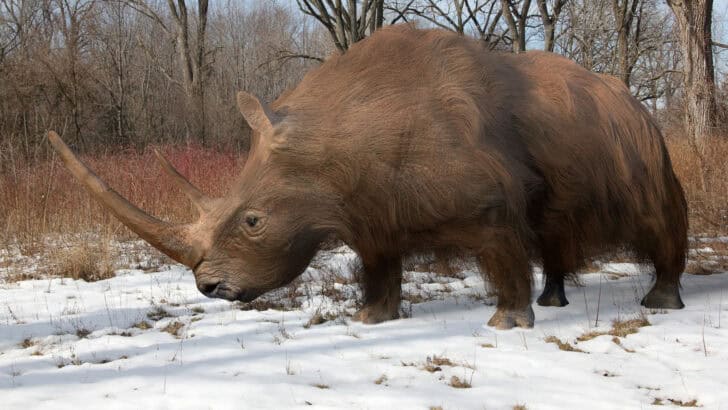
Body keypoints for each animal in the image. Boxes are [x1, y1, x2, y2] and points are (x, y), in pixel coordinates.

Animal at [48, 24, 687, 329]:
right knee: (555, 228)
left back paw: (659, 303)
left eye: (252, 221)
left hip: (643, 141)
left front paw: (507, 323)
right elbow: (379, 268)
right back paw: (555, 300)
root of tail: (634, 99)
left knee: (656, 214)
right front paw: (370, 318)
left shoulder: (491, 201)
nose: (209, 288)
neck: (332, 142)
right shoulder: (369, 209)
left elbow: (504, 250)